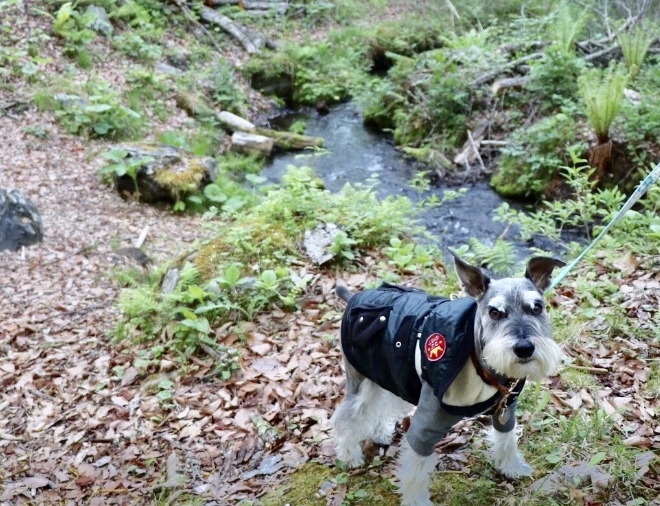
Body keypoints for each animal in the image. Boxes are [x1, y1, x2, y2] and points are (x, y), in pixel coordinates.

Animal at [332, 253, 564, 506]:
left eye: (537, 307)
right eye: (494, 312)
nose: (524, 348)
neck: (480, 361)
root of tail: (354, 297)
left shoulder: (506, 411)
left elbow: (507, 439)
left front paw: (511, 467)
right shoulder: (425, 428)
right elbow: (415, 472)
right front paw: (417, 502)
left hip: (395, 376)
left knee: (384, 405)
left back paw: (380, 432)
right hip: (361, 381)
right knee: (347, 417)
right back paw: (349, 455)